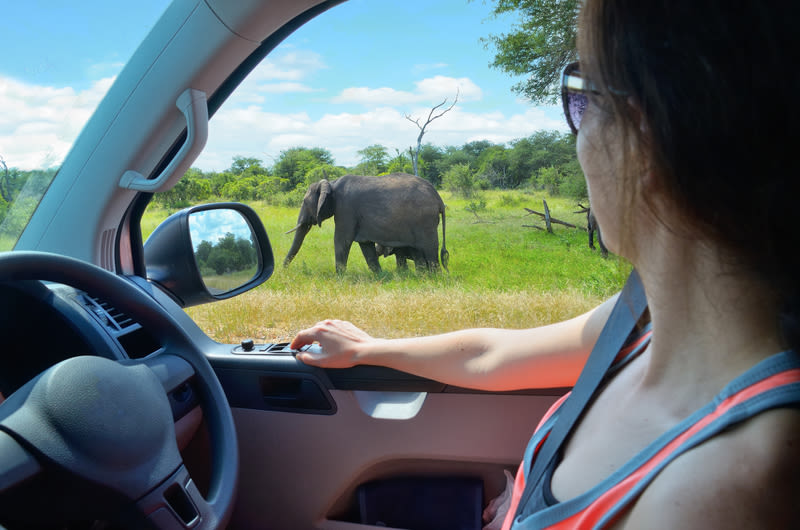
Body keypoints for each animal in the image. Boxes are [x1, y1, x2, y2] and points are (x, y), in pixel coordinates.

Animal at [282, 173, 446, 272]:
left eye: (304, 202)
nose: (282, 271)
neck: (331, 184)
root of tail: (438, 198)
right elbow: (366, 246)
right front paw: (380, 276)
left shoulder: (345, 209)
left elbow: (342, 240)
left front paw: (340, 278)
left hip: (425, 220)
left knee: (430, 250)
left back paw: (434, 278)